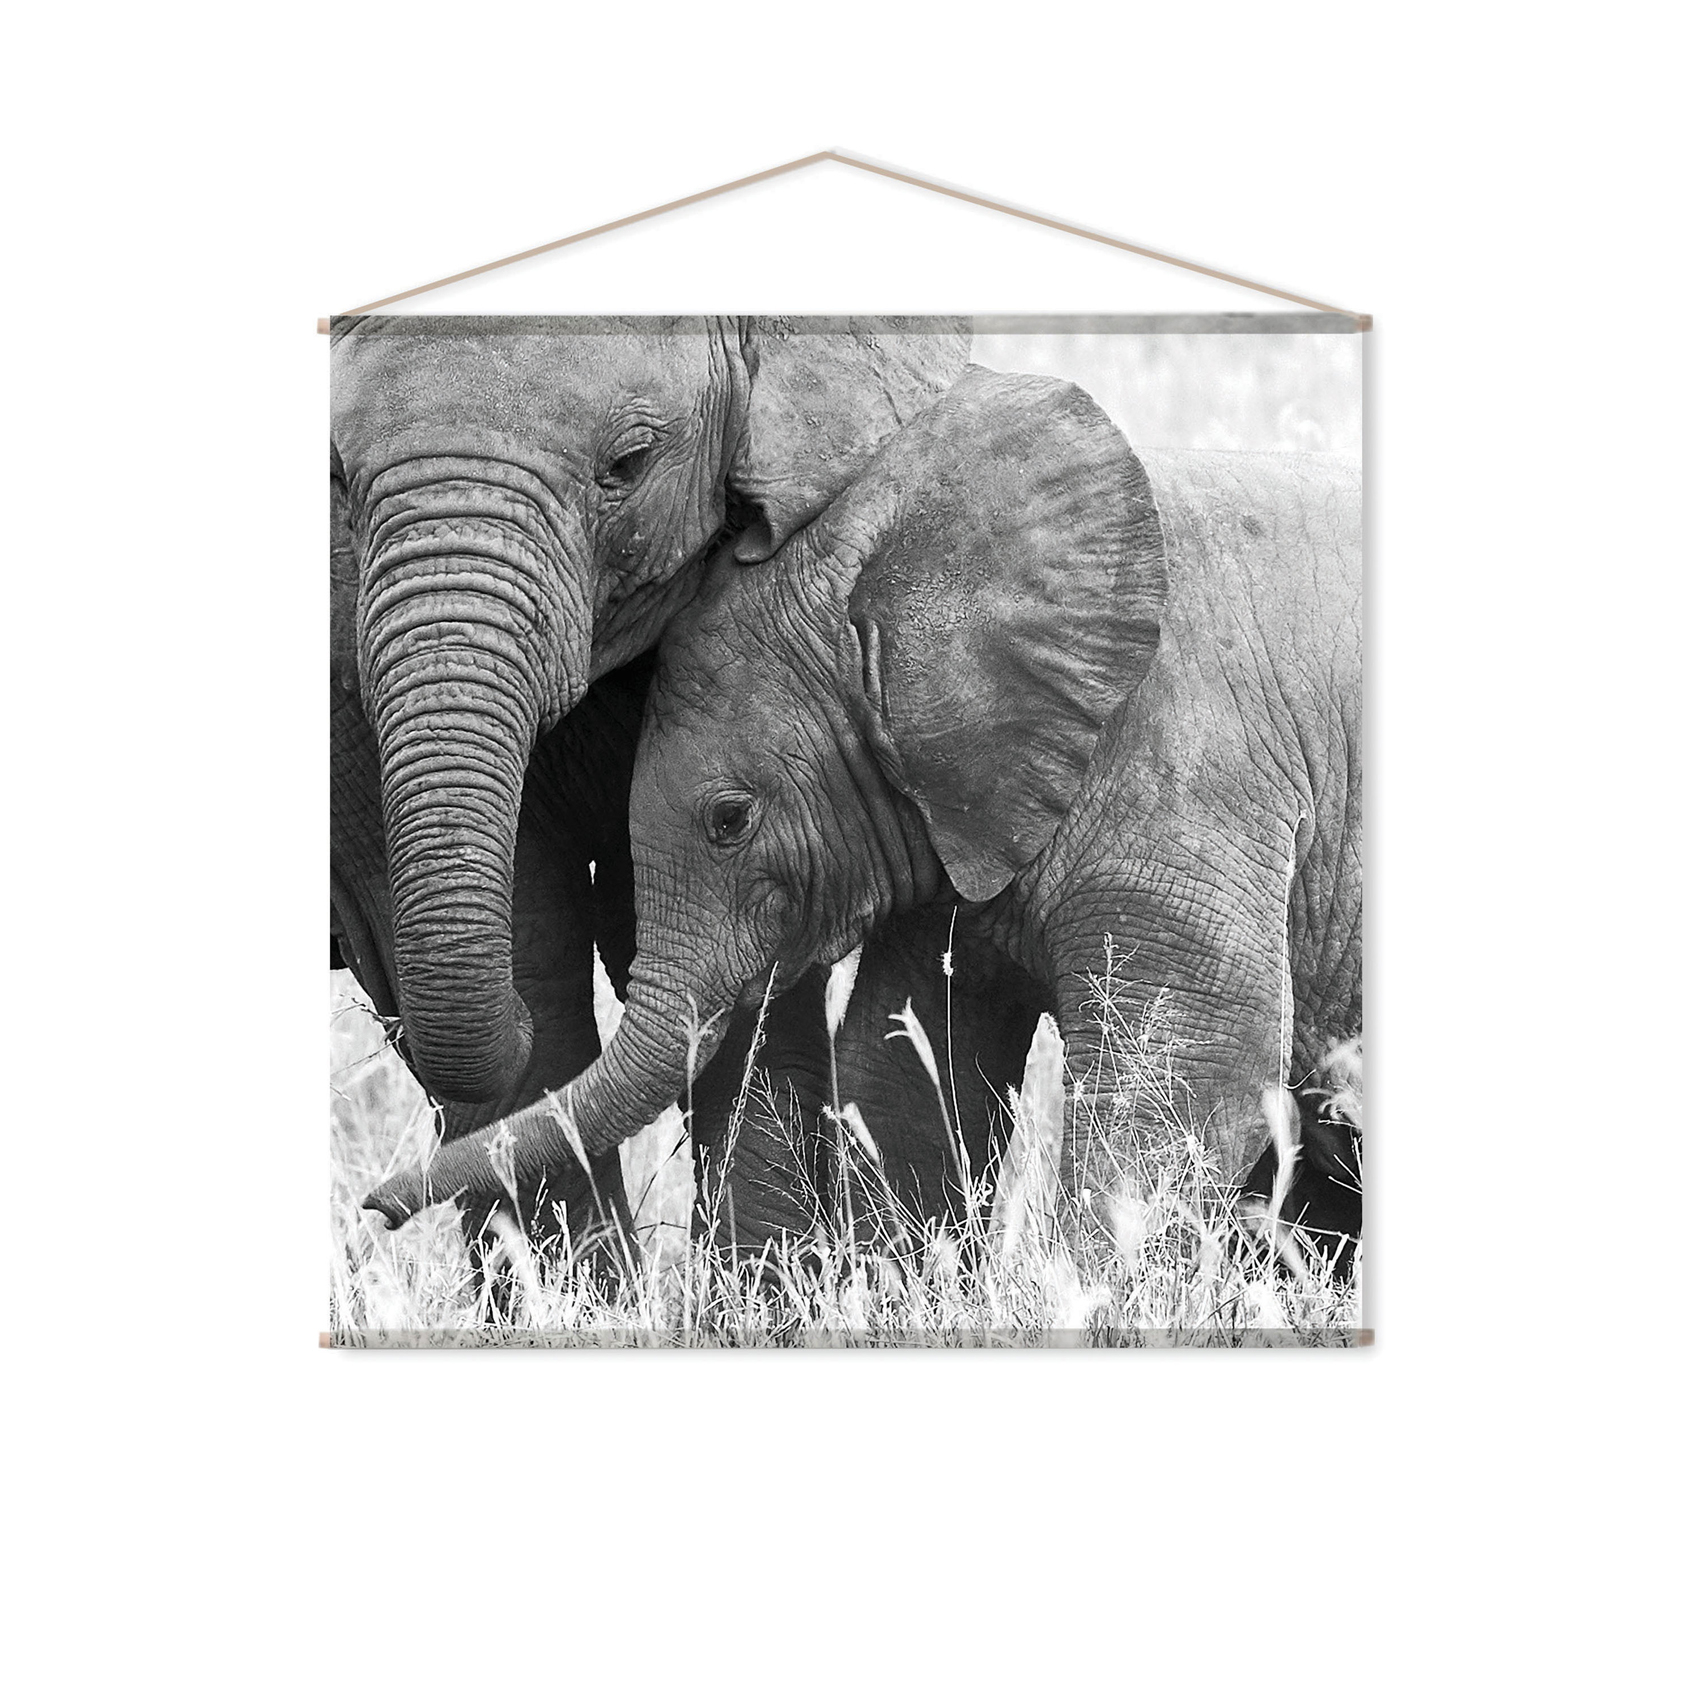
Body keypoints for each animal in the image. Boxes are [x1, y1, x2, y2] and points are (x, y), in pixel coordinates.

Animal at [363, 364, 1363, 1245]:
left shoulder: (1189, 778)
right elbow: (907, 1073)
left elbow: (1191, 1083)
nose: (370, 1209)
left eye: (730, 820)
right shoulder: (956, 816)